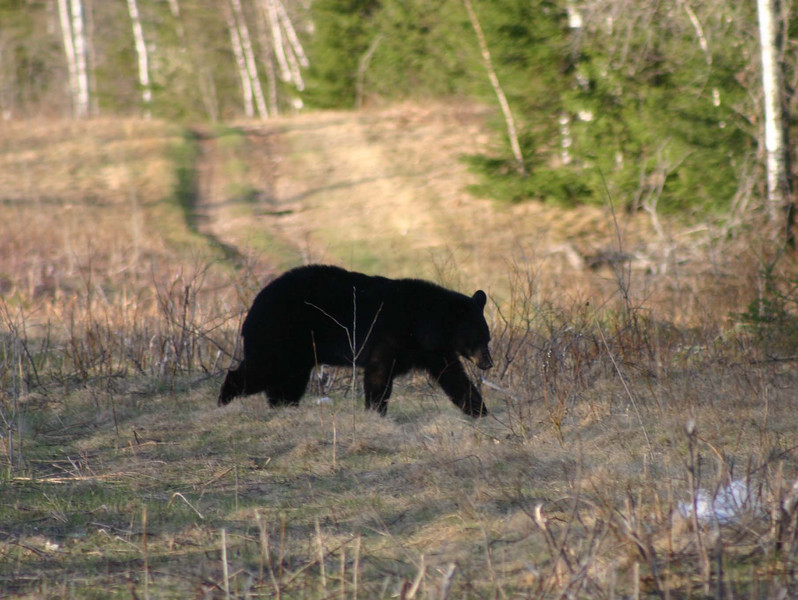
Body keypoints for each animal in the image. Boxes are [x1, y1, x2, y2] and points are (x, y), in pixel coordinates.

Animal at [218, 264, 493, 417]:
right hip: (280, 334)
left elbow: (454, 377)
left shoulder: (432, 350)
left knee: (287, 380)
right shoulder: (390, 335)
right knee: (262, 369)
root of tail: (252, 307)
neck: (425, 322)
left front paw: (480, 411)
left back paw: (285, 407)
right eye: (479, 339)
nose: (488, 363)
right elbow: (379, 374)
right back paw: (224, 400)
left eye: (487, 338)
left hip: (297, 350)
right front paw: (376, 412)